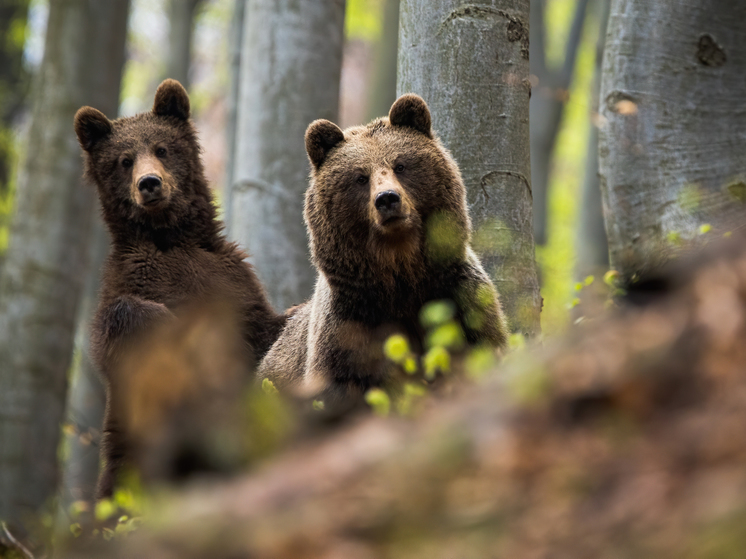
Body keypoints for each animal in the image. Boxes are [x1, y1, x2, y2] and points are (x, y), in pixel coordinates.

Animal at [75, 79, 284, 498]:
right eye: (124, 160)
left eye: (162, 148)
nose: (149, 183)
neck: (169, 238)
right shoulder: (133, 280)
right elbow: (124, 324)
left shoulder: (231, 282)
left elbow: (263, 328)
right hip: (126, 460)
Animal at [258, 93, 508, 412]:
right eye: (360, 177)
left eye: (401, 164)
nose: (387, 199)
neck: (400, 272)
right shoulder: (348, 326)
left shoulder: (459, 298)